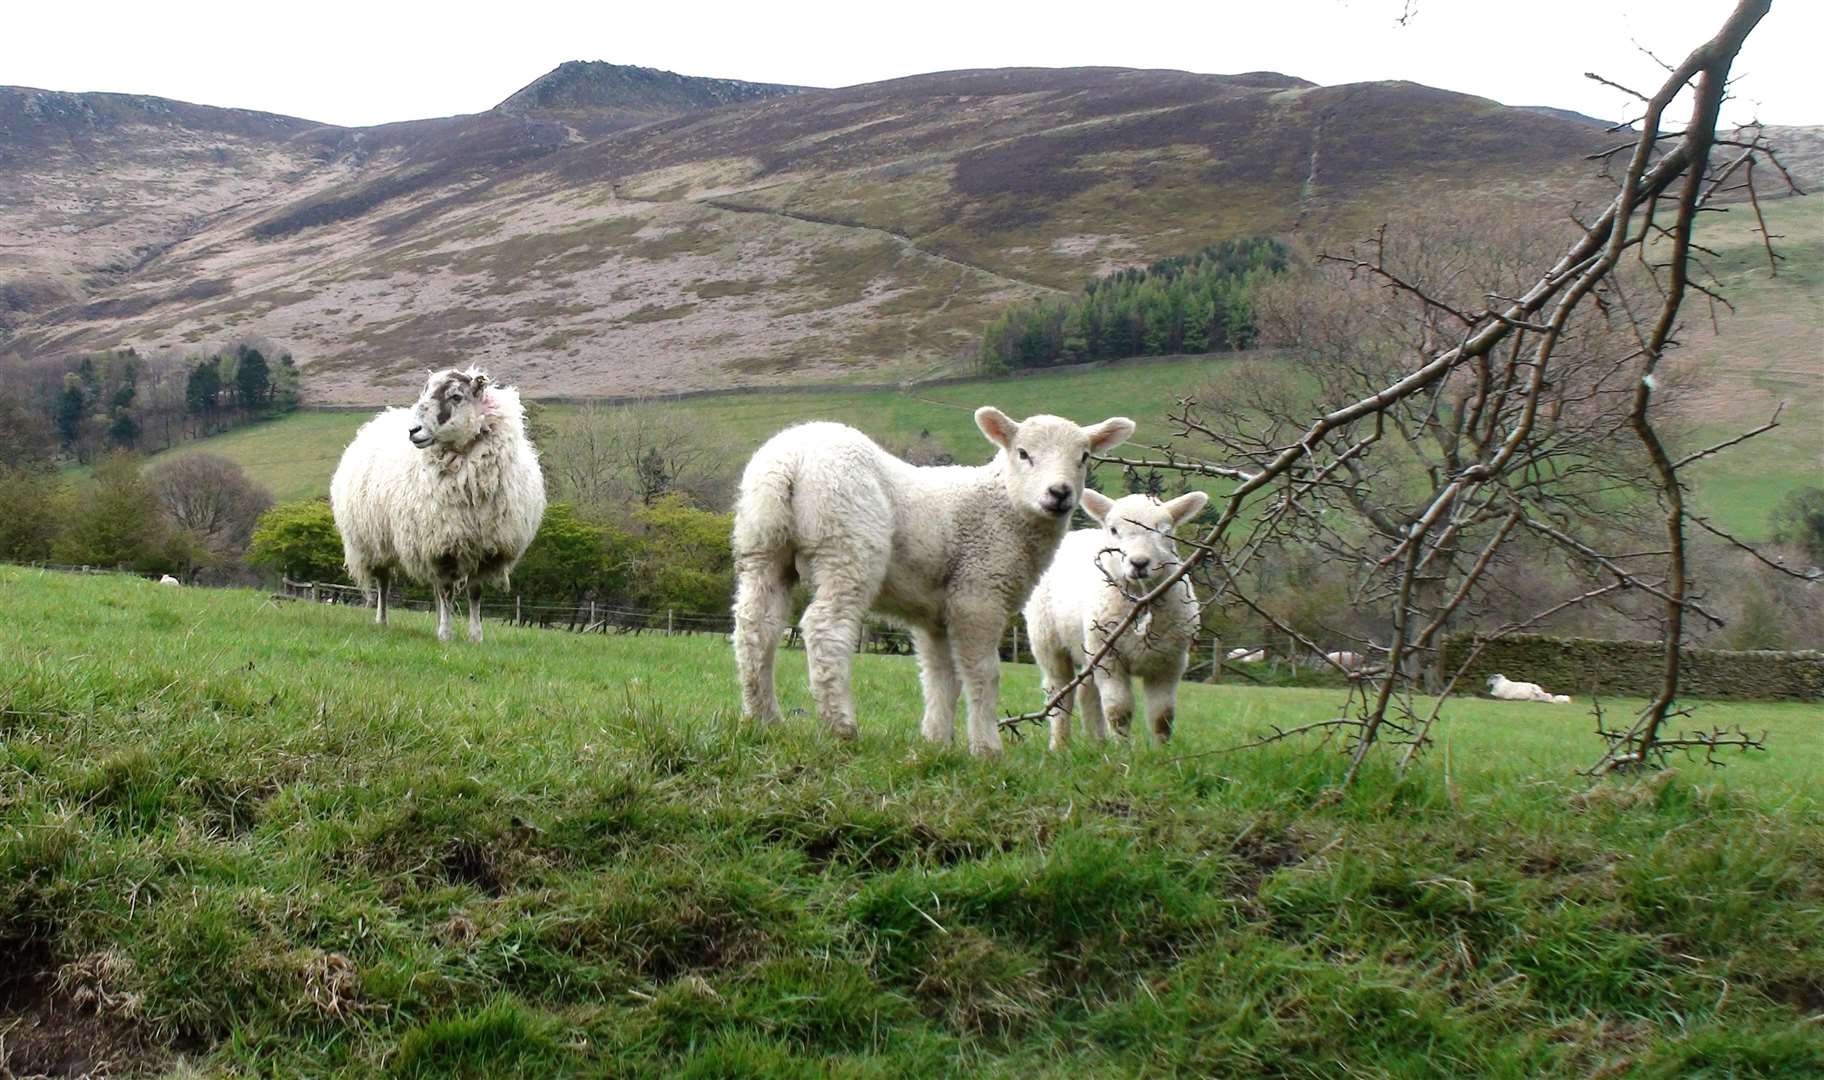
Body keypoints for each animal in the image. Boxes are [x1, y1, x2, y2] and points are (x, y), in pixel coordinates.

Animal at [328, 366, 543, 645]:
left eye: (456, 396)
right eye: (425, 392)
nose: (413, 430)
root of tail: (378, 419)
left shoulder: (484, 548)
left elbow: (474, 593)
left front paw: (475, 636)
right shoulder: (442, 544)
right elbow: (447, 591)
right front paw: (446, 634)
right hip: (373, 541)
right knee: (384, 583)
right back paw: (382, 620)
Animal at [729, 408, 1130, 755]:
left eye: (1084, 457)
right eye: (1023, 453)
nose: (1059, 493)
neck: (1005, 508)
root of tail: (789, 459)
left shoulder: (935, 615)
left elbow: (942, 677)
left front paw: (937, 741)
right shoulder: (978, 592)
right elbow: (983, 672)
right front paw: (986, 748)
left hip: (763, 544)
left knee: (756, 626)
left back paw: (764, 718)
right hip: (847, 539)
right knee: (825, 629)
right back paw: (840, 726)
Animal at [1028, 488, 1211, 751]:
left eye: (1165, 531)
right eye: (1114, 530)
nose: (1139, 563)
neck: (1140, 599)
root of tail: (1075, 534)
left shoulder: (1170, 663)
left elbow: (1163, 716)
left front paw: (1162, 753)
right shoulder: (1110, 658)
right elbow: (1118, 710)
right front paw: (1122, 753)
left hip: (1091, 648)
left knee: (1086, 691)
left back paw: (1096, 742)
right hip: (1048, 640)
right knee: (1059, 693)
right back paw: (1060, 746)